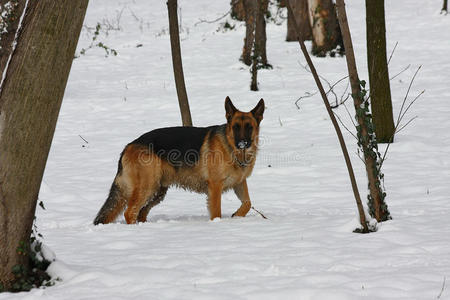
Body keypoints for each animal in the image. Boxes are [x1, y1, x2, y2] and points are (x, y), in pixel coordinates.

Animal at [94, 97, 264, 224]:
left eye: (249, 127)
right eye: (236, 127)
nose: (243, 143)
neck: (232, 149)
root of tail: (129, 145)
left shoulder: (239, 182)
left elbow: (248, 203)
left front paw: (237, 216)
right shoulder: (215, 186)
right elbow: (216, 212)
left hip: (157, 191)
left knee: (141, 212)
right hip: (147, 187)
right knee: (130, 212)